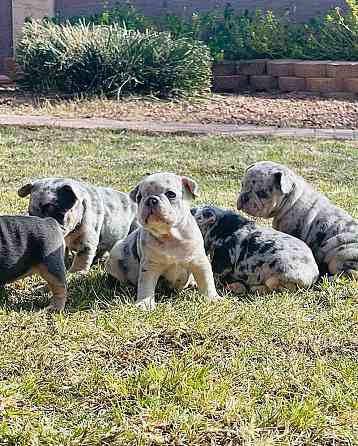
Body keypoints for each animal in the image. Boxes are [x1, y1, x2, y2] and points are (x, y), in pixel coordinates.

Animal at [105, 172, 220, 310]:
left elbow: (206, 280)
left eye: (171, 194)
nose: (150, 200)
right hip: (116, 255)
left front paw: (212, 298)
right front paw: (145, 303)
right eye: (139, 197)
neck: (170, 236)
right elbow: (146, 286)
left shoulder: (199, 261)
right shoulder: (150, 266)